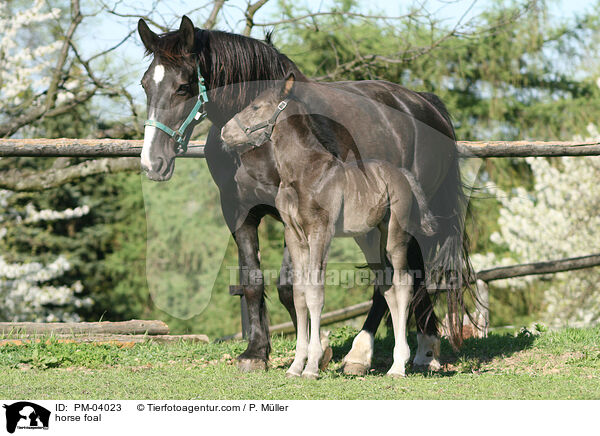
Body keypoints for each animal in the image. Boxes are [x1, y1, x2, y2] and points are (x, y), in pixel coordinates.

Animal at [223, 75, 438, 378]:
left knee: (403, 282)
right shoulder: (294, 234)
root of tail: (403, 174)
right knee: (387, 286)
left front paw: (312, 366)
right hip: (371, 240)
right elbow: (299, 294)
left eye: (255, 106)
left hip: (395, 236)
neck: (305, 172)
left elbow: (315, 293)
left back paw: (398, 365)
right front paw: (295, 366)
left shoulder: (320, 231)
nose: (224, 132)